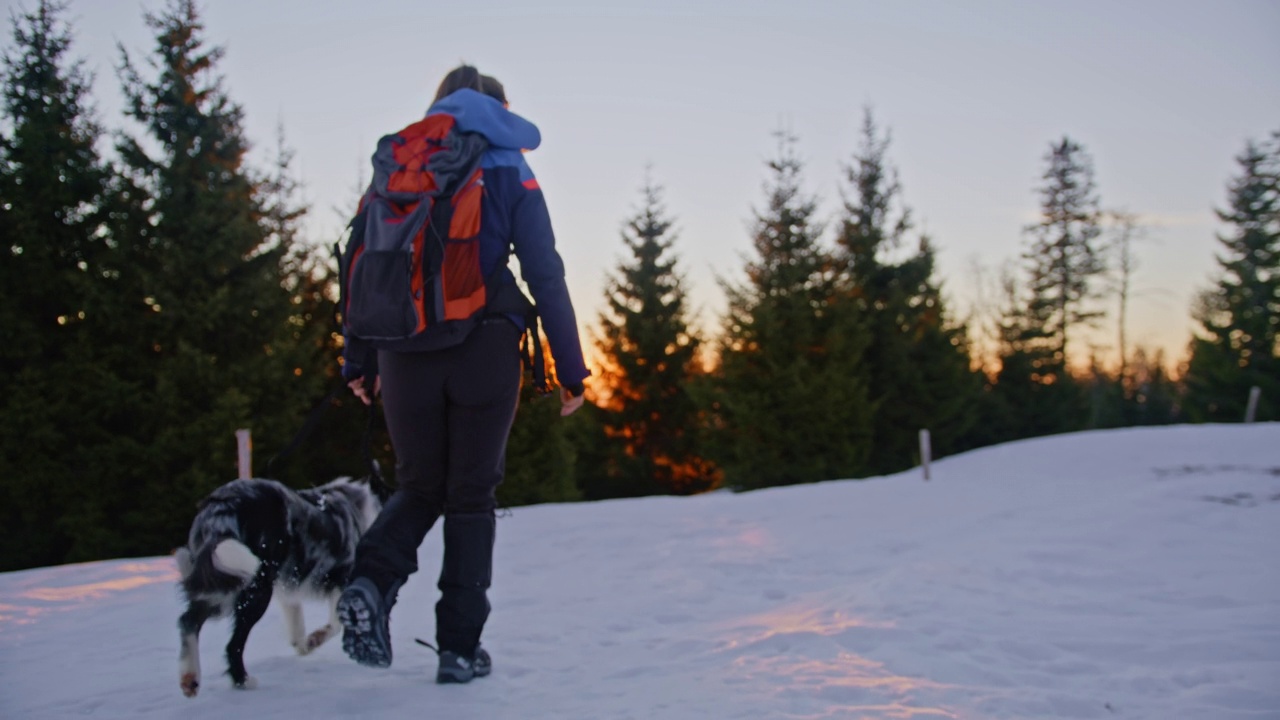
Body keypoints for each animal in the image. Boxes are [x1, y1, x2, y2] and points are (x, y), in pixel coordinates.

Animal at [175, 476, 386, 696]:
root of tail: (223, 506)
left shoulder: (288, 590)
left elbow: (297, 628)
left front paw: (305, 646)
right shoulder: (341, 577)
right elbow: (336, 624)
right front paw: (315, 639)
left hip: (219, 580)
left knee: (188, 621)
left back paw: (190, 678)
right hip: (255, 586)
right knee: (232, 645)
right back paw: (243, 681)